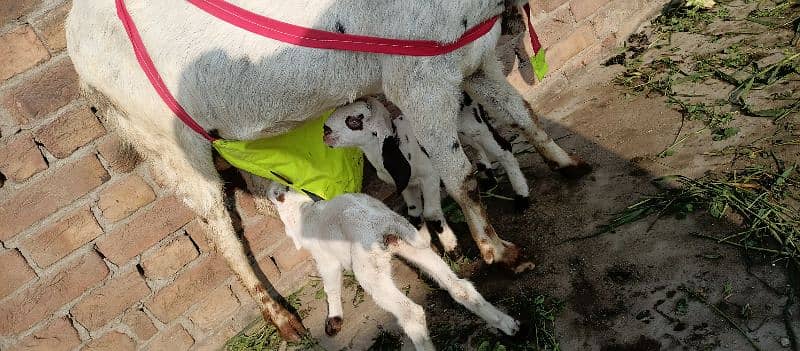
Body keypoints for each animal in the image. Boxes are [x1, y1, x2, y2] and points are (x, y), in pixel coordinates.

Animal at [266, 186, 520, 350]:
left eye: (276, 192)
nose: (269, 190)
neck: (305, 211)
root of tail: (384, 222)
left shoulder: (325, 259)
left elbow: (330, 286)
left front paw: (333, 320)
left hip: (369, 271)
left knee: (412, 314)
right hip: (412, 246)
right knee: (460, 287)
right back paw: (508, 325)